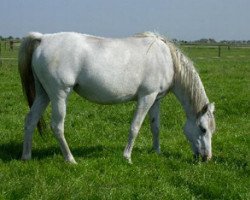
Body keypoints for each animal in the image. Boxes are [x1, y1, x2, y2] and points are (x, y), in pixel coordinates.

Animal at [18, 31, 216, 164]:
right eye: (203, 129)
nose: (207, 158)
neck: (166, 58)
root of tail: (44, 38)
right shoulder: (146, 97)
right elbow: (135, 127)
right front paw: (127, 157)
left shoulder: (156, 99)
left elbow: (155, 127)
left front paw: (157, 151)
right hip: (59, 95)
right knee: (57, 126)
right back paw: (70, 159)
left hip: (43, 94)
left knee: (31, 120)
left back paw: (26, 156)